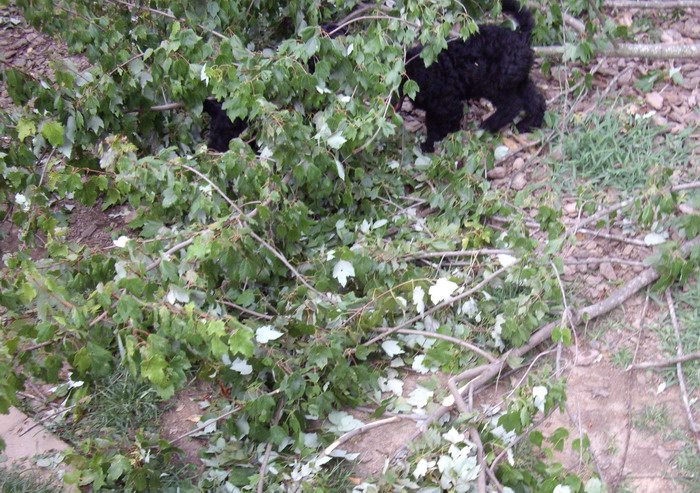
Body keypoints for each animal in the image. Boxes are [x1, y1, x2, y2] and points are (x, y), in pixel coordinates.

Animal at [403, 0, 545, 152]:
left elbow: (443, 126)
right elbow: (432, 123)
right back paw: (529, 124)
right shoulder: (435, 107)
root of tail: (521, 37)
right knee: (535, 99)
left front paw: (434, 144)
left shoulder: (447, 104)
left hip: (493, 83)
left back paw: (489, 125)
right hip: (516, 80)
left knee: (513, 104)